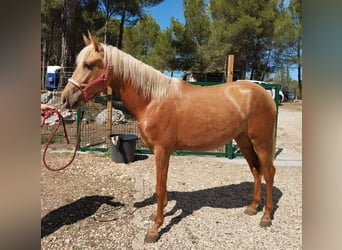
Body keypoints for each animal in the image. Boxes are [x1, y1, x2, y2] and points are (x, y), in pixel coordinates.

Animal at [61, 32, 276, 242]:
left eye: (88, 64)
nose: (65, 99)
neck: (153, 99)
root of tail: (264, 92)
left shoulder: (162, 151)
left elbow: (159, 188)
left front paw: (155, 229)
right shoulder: (162, 152)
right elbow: (162, 189)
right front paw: (159, 215)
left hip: (261, 141)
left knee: (268, 172)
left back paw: (266, 216)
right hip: (243, 140)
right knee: (256, 169)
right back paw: (252, 207)